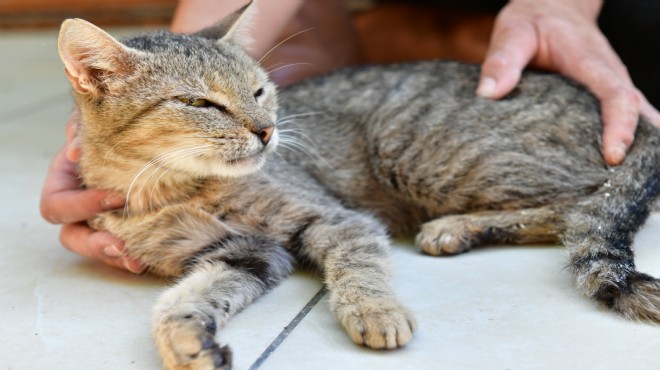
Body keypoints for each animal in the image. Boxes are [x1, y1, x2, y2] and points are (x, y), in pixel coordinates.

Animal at [55, 1, 660, 368]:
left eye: (258, 91)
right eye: (199, 102)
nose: (267, 130)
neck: (169, 189)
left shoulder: (338, 219)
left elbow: (358, 268)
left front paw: (375, 312)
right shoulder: (246, 252)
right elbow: (181, 301)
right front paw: (186, 341)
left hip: (422, 151)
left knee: (582, 205)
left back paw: (454, 227)